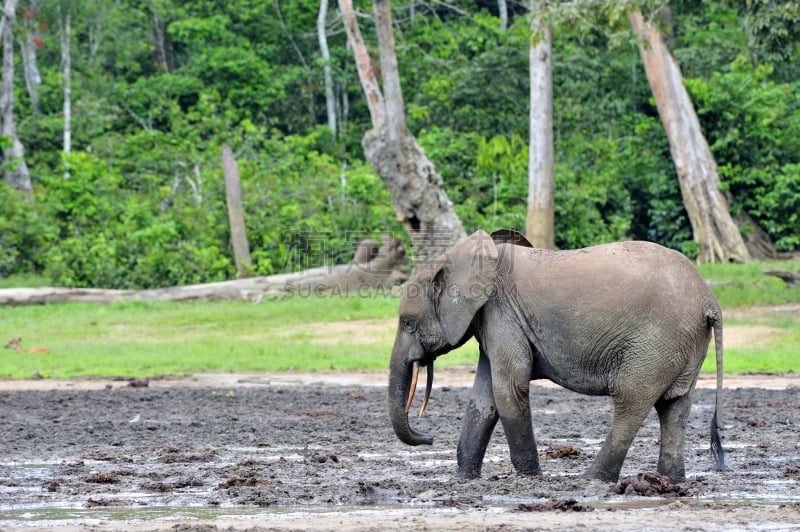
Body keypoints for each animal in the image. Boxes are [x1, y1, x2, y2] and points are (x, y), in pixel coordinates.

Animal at [388, 229, 724, 482]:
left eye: (408, 323)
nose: (429, 437)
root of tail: (709, 300)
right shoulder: (496, 320)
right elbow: (484, 397)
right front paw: (463, 479)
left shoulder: (501, 312)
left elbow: (509, 388)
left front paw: (530, 478)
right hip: (683, 343)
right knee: (674, 406)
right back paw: (670, 480)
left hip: (655, 342)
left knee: (631, 401)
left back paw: (592, 479)